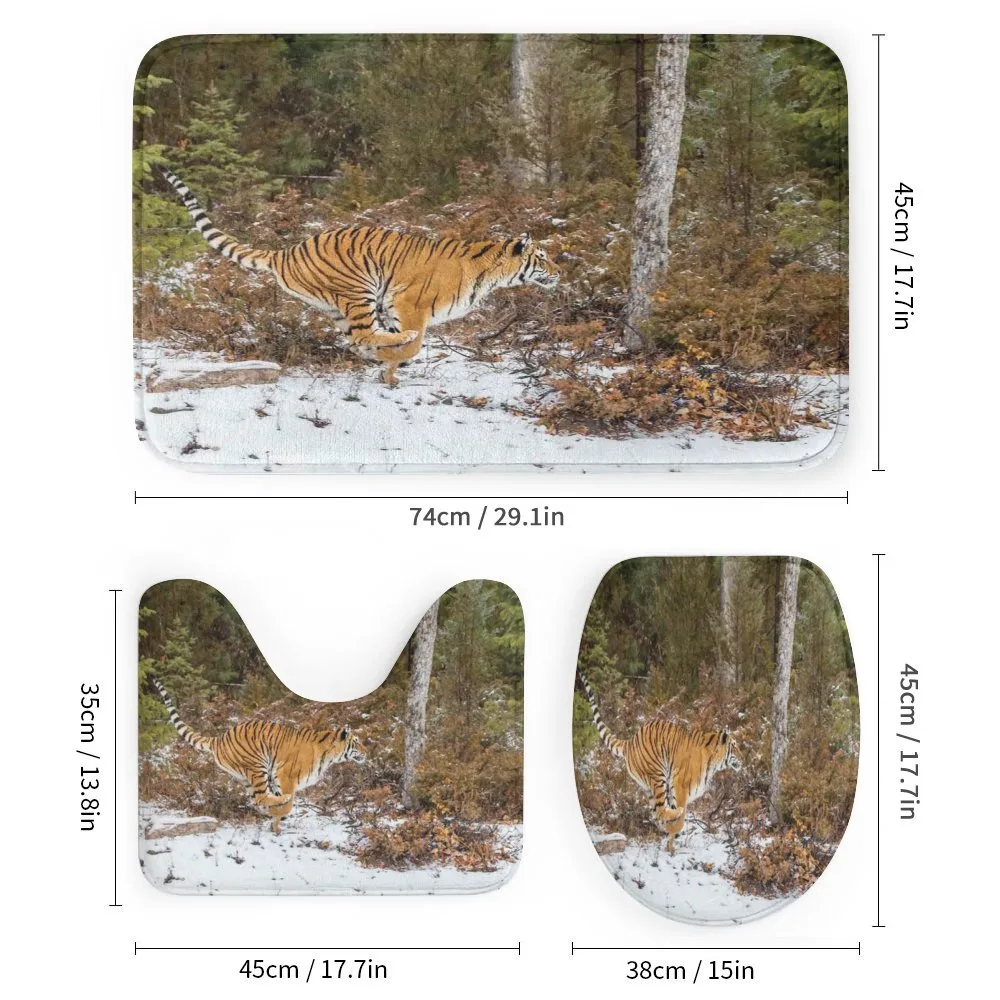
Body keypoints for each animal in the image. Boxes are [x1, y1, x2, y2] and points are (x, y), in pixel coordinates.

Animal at [152, 677, 365, 834]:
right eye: (357, 741)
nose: (366, 751)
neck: (330, 754)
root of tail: (220, 738)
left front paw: (276, 823)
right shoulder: (285, 777)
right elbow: (288, 804)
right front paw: (280, 815)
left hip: (246, 776)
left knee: (257, 799)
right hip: (257, 766)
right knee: (262, 797)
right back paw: (277, 804)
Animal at [159, 168, 560, 386]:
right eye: (543, 257)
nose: (560, 271)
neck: (490, 271)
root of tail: (285, 251)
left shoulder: (393, 307)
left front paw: (390, 371)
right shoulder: (407, 303)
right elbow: (413, 342)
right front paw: (397, 362)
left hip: (339, 305)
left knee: (356, 339)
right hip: (358, 290)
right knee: (365, 336)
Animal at [578, 672, 741, 854]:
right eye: (735, 746)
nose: (743, 757)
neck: (713, 761)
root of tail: (630, 742)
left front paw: (671, 844)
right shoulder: (680, 786)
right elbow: (680, 816)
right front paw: (674, 831)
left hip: (649, 786)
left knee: (656, 812)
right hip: (658, 776)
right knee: (662, 811)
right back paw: (672, 818)